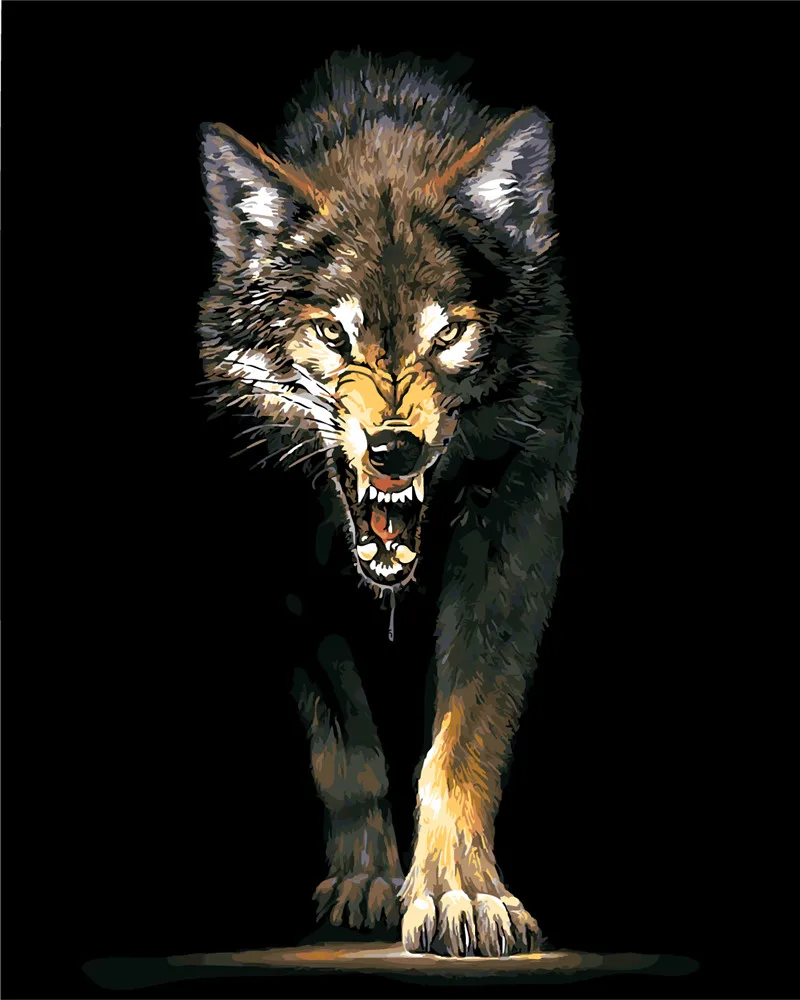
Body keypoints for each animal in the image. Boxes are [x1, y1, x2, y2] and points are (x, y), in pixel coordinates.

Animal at [197, 52, 581, 958]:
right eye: (333, 335)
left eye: (449, 335)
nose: (394, 451)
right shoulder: (290, 569)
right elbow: (349, 747)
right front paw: (370, 882)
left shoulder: (518, 532)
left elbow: (463, 739)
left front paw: (460, 893)